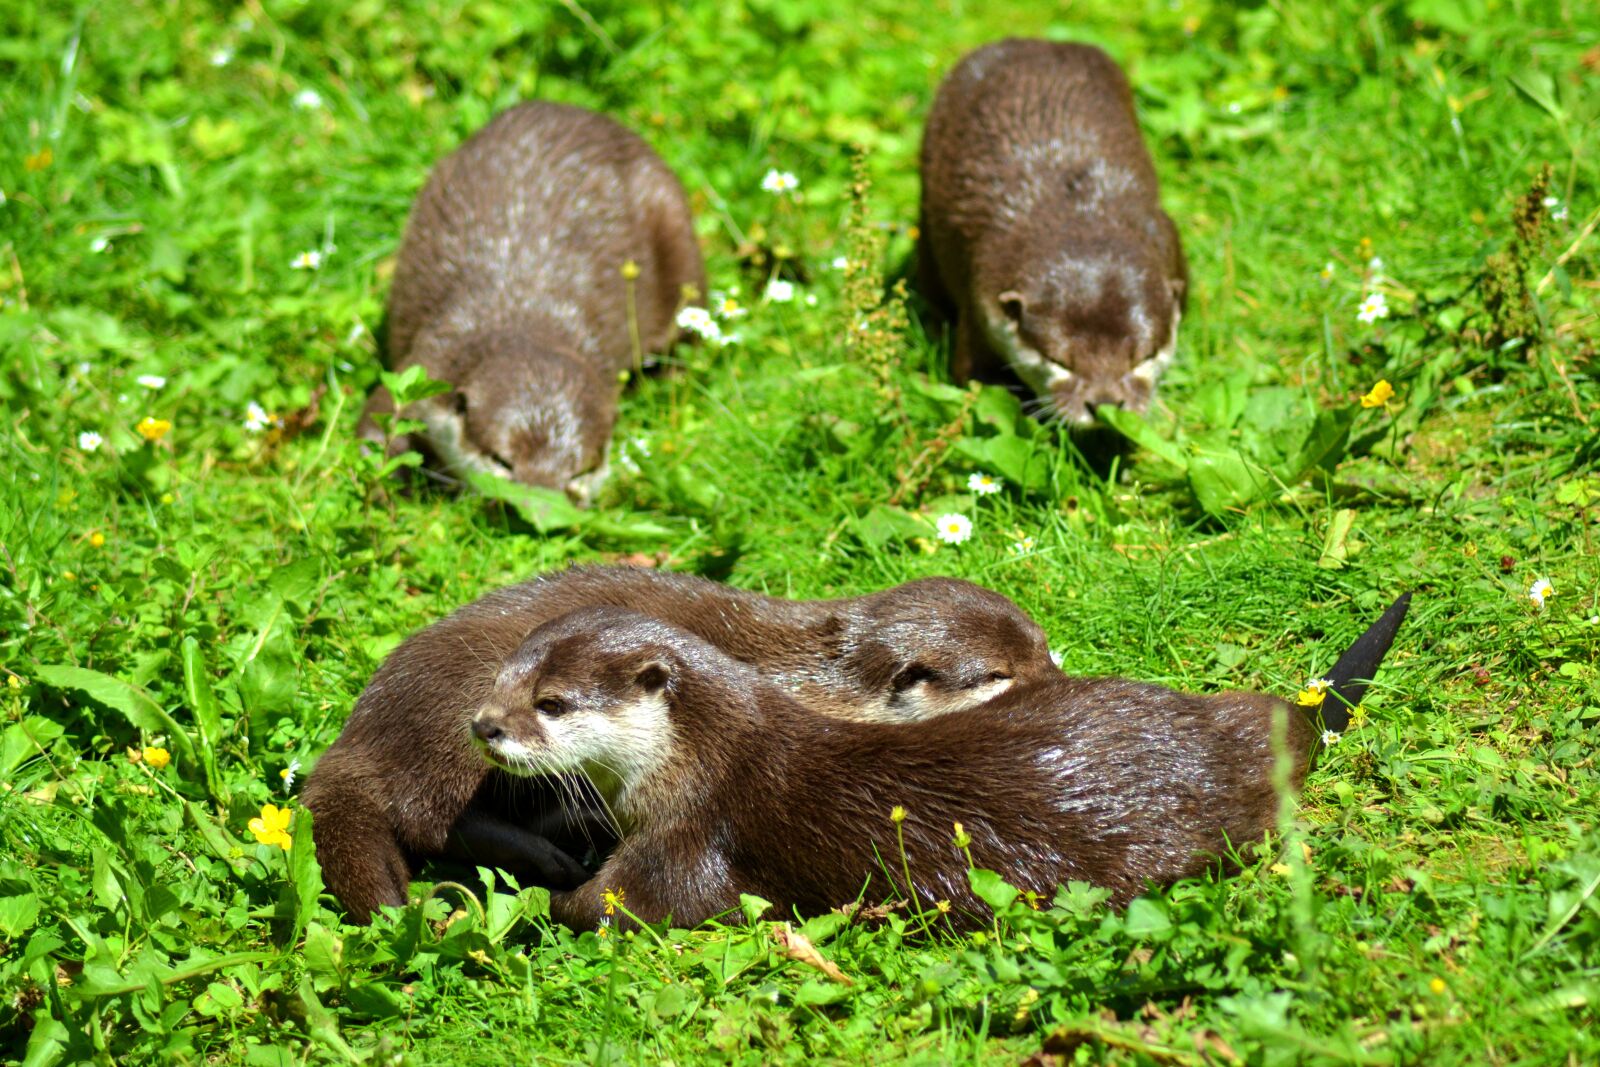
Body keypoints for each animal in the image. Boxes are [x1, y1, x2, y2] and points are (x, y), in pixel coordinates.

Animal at [303, 566, 1058, 921]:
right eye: (1000, 674)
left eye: (1043, 647)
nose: (1058, 682)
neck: (826, 684)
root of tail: (362, 731)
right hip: (458, 725)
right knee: (434, 818)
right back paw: (552, 850)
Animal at [360, 101, 705, 500]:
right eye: (502, 461)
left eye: (579, 473)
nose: (535, 506)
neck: (523, 317)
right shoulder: (427, 368)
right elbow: (379, 423)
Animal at [472, 595, 1411, 930]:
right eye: (503, 674)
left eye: (551, 702)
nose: (484, 724)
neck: (704, 756)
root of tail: (1237, 733)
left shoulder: (695, 838)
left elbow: (606, 907)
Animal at [918, 39, 1187, 425]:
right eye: (1060, 361)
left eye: (1143, 358)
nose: (1104, 402)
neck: (1077, 214)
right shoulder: (978, 295)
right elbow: (974, 381)